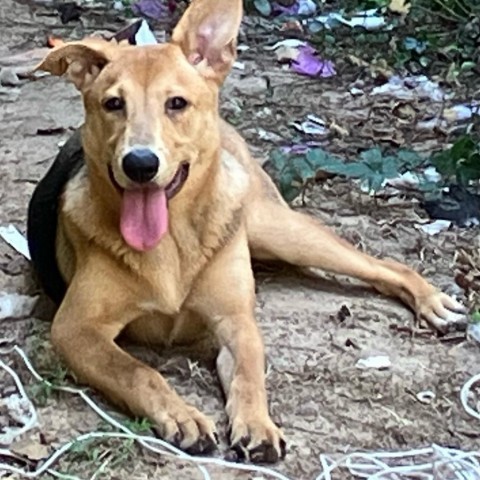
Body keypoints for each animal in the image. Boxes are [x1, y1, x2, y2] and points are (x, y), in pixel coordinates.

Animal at [28, 0, 466, 464]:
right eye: (113, 104)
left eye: (176, 103)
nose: (140, 164)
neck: (173, 241)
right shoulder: (76, 329)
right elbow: (137, 371)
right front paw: (182, 415)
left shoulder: (236, 321)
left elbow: (250, 376)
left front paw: (256, 423)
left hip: (277, 229)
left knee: (384, 265)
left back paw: (431, 300)